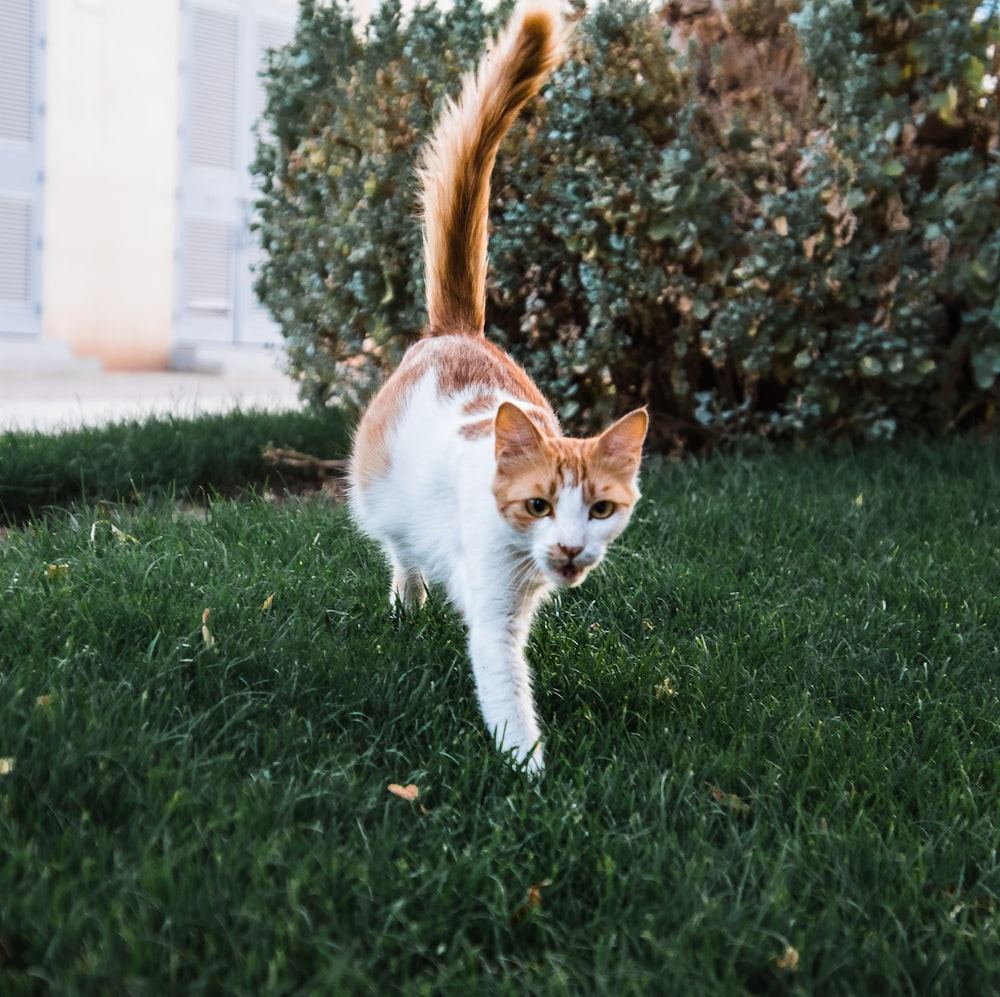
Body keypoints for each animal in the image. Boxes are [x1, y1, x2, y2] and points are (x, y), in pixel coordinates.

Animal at [352, 0, 648, 776]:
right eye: (537, 503)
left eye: (601, 509)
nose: (571, 549)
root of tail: (457, 330)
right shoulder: (491, 613)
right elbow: (507, 691)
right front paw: (532, 779)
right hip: (377, 499)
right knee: (400, 553)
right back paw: (406, 604)